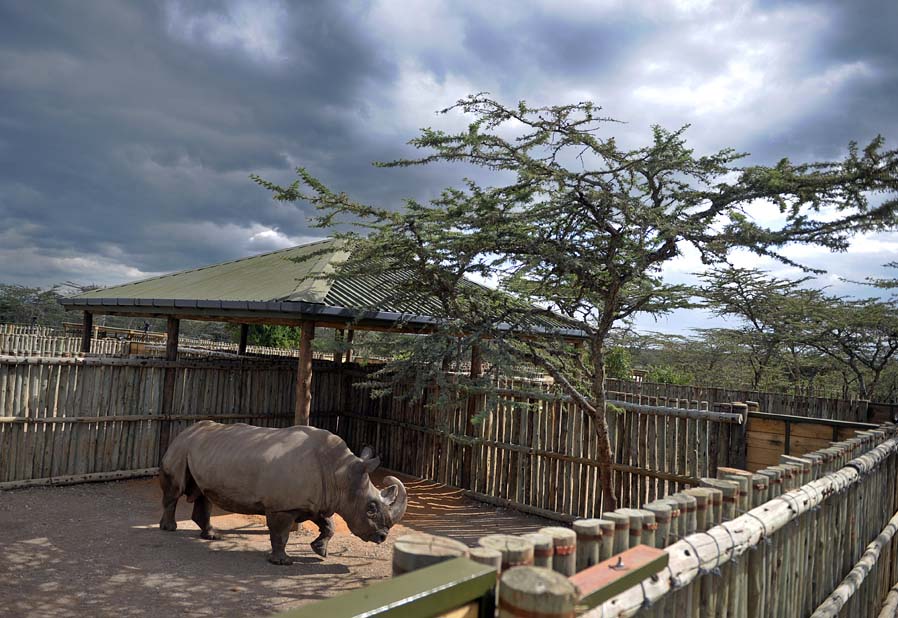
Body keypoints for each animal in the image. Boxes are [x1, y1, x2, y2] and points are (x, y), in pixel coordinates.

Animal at [158, 420, 408, 565]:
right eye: (371, 508)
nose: (382, 537)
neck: (341, 473)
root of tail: (185, 430)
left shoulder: (317, 502)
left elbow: (329, 524)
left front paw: (320, 551)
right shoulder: (283, 506)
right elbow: (281, 533)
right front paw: (282, 562)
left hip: (203, 450)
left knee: (203, 493)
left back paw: (212, 536)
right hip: (181, 447)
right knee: (176, 490)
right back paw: (169, 528)